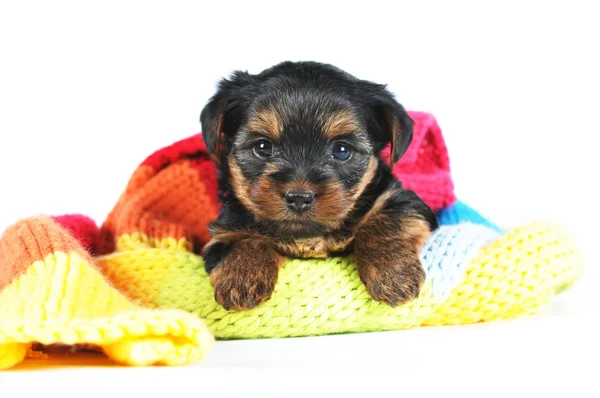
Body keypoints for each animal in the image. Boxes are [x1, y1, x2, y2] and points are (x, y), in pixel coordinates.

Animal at [199, 62, 438, 310]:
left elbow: (385, 222)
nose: (299, 197)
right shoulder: (224, 232)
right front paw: (241, 279)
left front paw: (394, 274)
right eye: (263, 147)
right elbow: (245, 239)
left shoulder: (402, 200)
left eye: (342, 150)